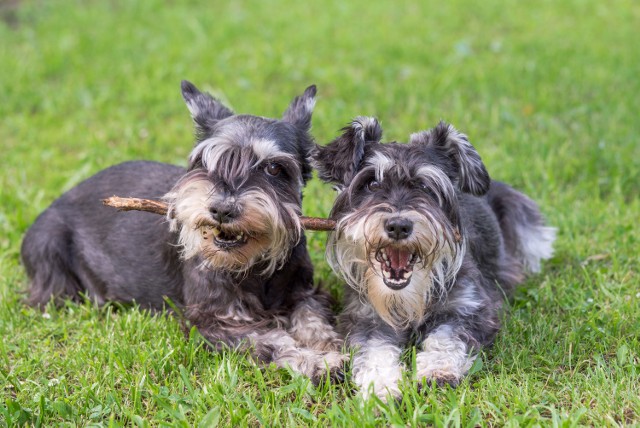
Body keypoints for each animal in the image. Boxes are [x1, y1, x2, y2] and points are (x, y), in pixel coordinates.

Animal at [21, 80, 344, 382]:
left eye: (274, 168)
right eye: (204, 162)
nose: (222, 209)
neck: (252, 266)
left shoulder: (304, 292)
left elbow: (313, 319)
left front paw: (328, 346)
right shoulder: (213, 321)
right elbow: (271, 339)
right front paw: (315, 361)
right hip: (49, 249)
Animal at [314, 116, 556, 398]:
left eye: (424, 186)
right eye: (372, 183)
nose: (398, 226)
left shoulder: (468, 309)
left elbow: (446, 339)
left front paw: (436, 373)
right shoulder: (365, 319)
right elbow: (374, 351)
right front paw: (381, 387)